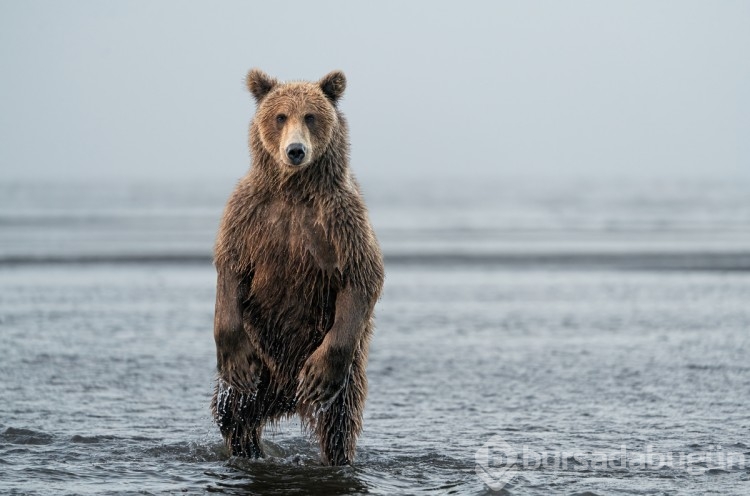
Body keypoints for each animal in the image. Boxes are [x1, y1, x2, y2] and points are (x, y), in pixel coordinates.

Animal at [213, 67, 384, 464]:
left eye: (310, 116)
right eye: (280, 116)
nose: (295, 151)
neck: (293, 190)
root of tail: (286, 398)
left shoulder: (342, 220)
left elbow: (362, 276)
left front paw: (320, 375)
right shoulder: (248, 214)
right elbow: (230, 267)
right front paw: (235, 361)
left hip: (345, 372)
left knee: (338, 423)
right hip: (261, 355)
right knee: (234, 413)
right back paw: (247, 449)